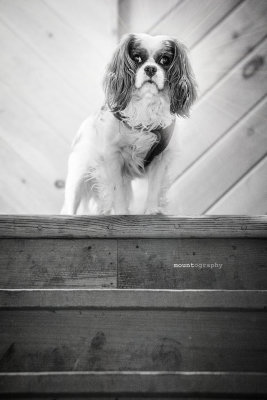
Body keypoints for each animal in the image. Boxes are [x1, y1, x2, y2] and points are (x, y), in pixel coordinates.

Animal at [61, 33, 198, 216]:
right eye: (137, 58)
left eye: (164, 60)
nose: (150, 69)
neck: (145, 105)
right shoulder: (112, 156)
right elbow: (116, 190)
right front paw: (120, 213)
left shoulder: (160, 158)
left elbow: (154, 189)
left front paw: (152, 211)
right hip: (79, 173)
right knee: (71, 203)